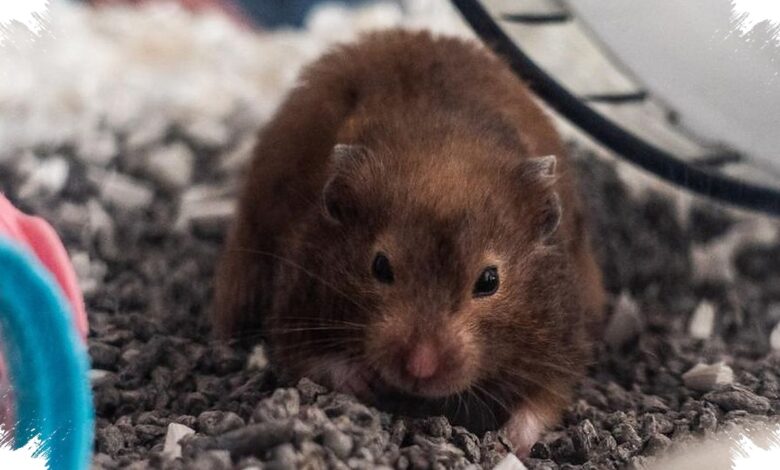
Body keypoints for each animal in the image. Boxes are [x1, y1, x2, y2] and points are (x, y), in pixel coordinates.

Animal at [214, 30, 605, 455]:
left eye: (489, 281)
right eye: (380, 266)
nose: (420, 369)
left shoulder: (562, 341)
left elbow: (544, 401)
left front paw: (510, 445)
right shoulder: (295, 304)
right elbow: (310, 358)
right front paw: (364, 382)